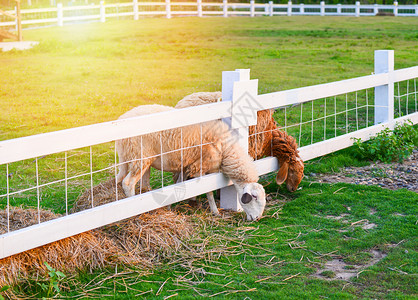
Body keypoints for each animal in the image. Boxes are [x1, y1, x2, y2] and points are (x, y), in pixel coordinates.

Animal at [115, 104, 264, 221]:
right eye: (254, 197)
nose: (256, 218)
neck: (226, 148)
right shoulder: (201, 166)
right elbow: (208, 191)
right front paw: (215, 211)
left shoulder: (187, 165)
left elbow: (179, 183)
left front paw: (170, 206)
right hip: (140, 158)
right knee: (127, 183)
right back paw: (135, 213)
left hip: (132, 158)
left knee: (131, 182)